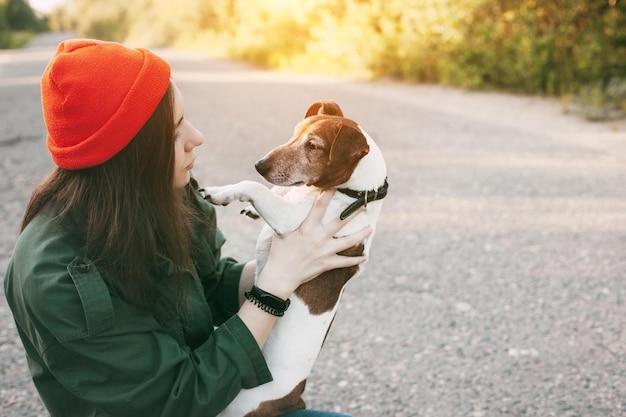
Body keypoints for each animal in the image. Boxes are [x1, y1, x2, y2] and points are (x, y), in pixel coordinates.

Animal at [200, 101, 386, 416]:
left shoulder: (289, 221)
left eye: (313, 145)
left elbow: (254, 187)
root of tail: (293, 399)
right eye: (295, 133)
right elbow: (276, 190)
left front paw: (221, 192)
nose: (259, 165)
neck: (354, 194)